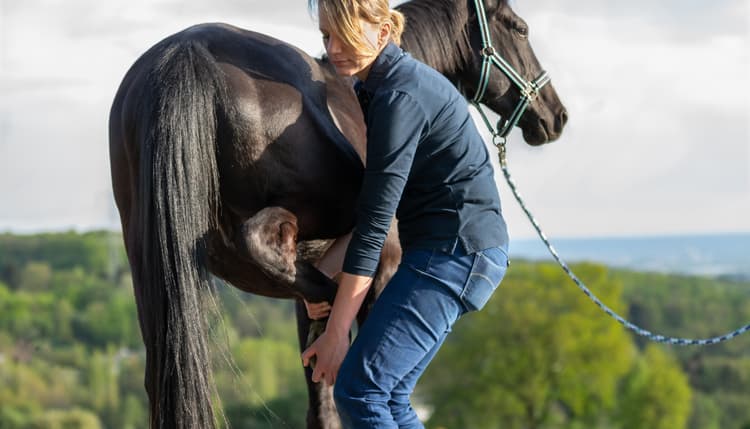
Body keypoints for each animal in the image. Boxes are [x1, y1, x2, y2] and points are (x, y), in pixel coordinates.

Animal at [108, 0, 567, 427]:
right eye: (521, 28)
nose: (556, 114)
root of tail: (187, 52)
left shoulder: (299, 299)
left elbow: (321, 408)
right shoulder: (385, 268)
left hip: (152, 267)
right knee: (261, 241)